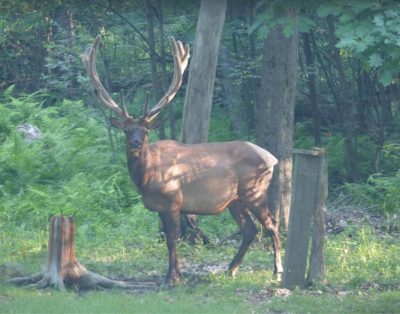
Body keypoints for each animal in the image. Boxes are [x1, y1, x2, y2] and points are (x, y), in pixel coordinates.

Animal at [82, 34, 282, 284]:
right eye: (127, 131)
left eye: (145, 130)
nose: (135, 143)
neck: (148, 178)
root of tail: (273, 159)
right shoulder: (160, 207)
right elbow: (170, 240)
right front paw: (175, 274)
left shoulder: (174, 200)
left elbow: (172, 240)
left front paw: (173, 277)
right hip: (235, 200)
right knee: (250, 230)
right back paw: (231, 269)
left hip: (255, 190)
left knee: (272, 224)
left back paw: (277, 270)